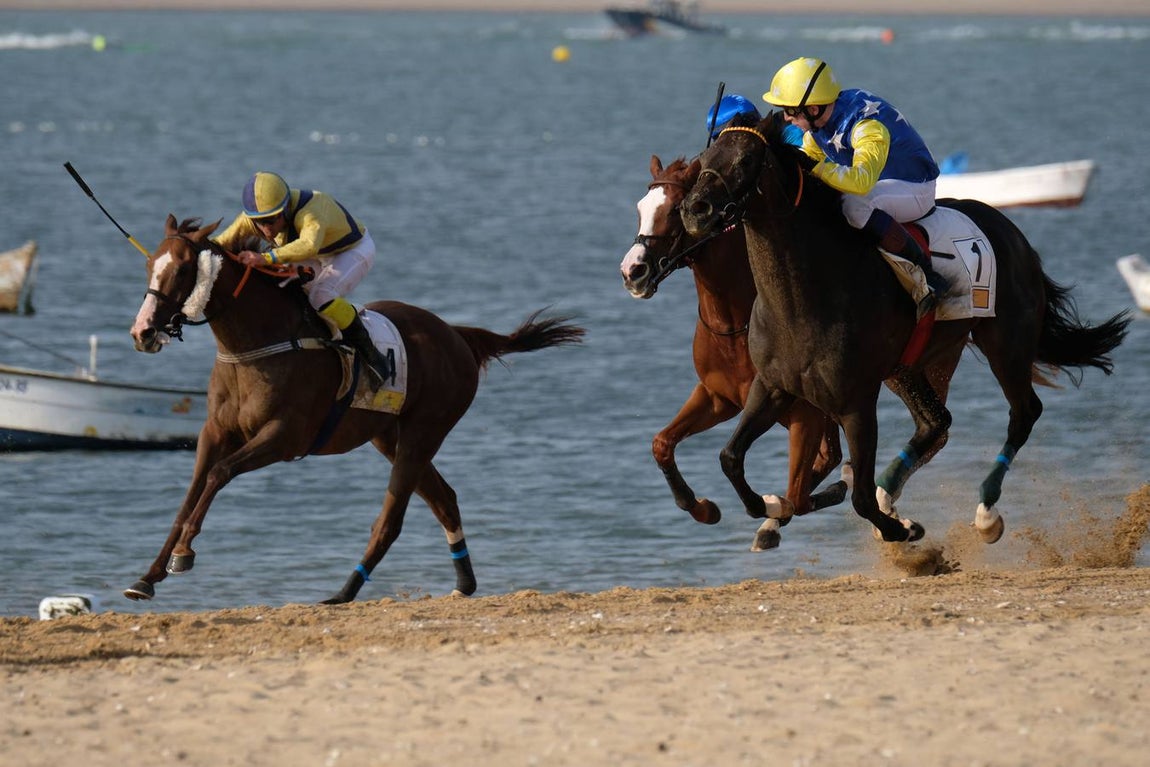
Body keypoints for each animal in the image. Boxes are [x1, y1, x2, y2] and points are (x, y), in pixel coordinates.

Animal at [124, 215, 584, 604]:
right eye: (149, 264)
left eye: (183, 270)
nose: (142, 332)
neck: (258, 344)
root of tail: (455, 334)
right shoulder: (215, 432)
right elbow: (190, 496)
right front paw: (147, 578)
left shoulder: (285, 437)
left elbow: (219, 474)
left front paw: (184, 553)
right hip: (389, 437)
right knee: (444, 499)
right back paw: (463, 583)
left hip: (423, 432)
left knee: (391, 520)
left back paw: (344, 591)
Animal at [621, 154, 847, 549]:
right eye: (640, 209)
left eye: (676, 210)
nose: (632, 271)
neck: (734, 324)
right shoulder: (719, 398)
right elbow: (662, 443)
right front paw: (703, 508)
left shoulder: (804, 413)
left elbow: (798, 495)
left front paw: (773, 509)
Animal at [679, 112, 1130, 544]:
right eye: (704, 159)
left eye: (745, 160)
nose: (695, 210)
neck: (802, 299)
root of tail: (1011, 232)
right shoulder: (772, 386)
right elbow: (730, 459)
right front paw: (773, 506)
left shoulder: (856, 401)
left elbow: (859, 498)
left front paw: (899, 528)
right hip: (915, 363)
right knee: (936, 423)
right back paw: (888, 491)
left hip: (1006, 344)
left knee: (1023, 413)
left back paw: (984, 513)